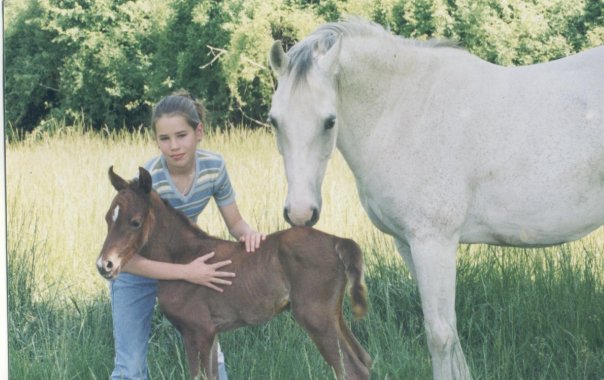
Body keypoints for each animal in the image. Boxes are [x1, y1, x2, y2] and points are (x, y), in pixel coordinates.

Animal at [96, 168, 370, 380]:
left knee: (351, 370)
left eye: (135, 222)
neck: (183, 259)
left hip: (315, 317)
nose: (104, 265)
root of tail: (336, 240)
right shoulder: (210, 333)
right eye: (108, 218)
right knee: (364, 361)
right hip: (333, 315)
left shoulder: (197, 332)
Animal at [268, 18, 604, 380]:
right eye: (275, 120)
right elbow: (450, 332)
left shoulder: (433, 243)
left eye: (329, 121)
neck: (406, 111)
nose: (300, 213)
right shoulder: (408, 244)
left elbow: (439, 334)